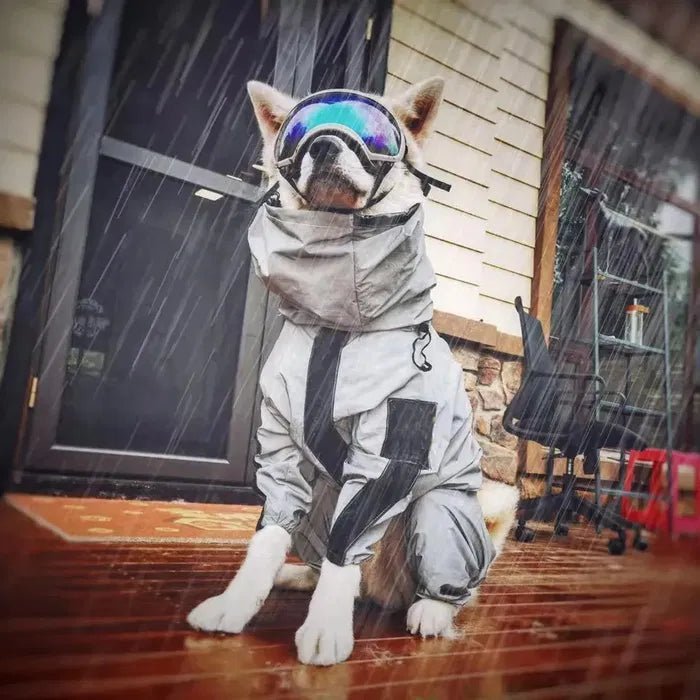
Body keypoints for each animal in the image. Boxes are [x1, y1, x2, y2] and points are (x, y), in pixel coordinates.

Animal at [187, 76, 520, 668]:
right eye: (297, 130)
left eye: (375, 132)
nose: (321, 145)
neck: (337, 321)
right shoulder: (282, 448)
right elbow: (267, 537)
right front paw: (236, 604)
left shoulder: (390, 451)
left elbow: (350, 542)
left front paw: (325, 629)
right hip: (323, 494)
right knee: (337, 564)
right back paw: (298, 576)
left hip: (443, 508)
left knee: (444, 583)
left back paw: (432, 609)